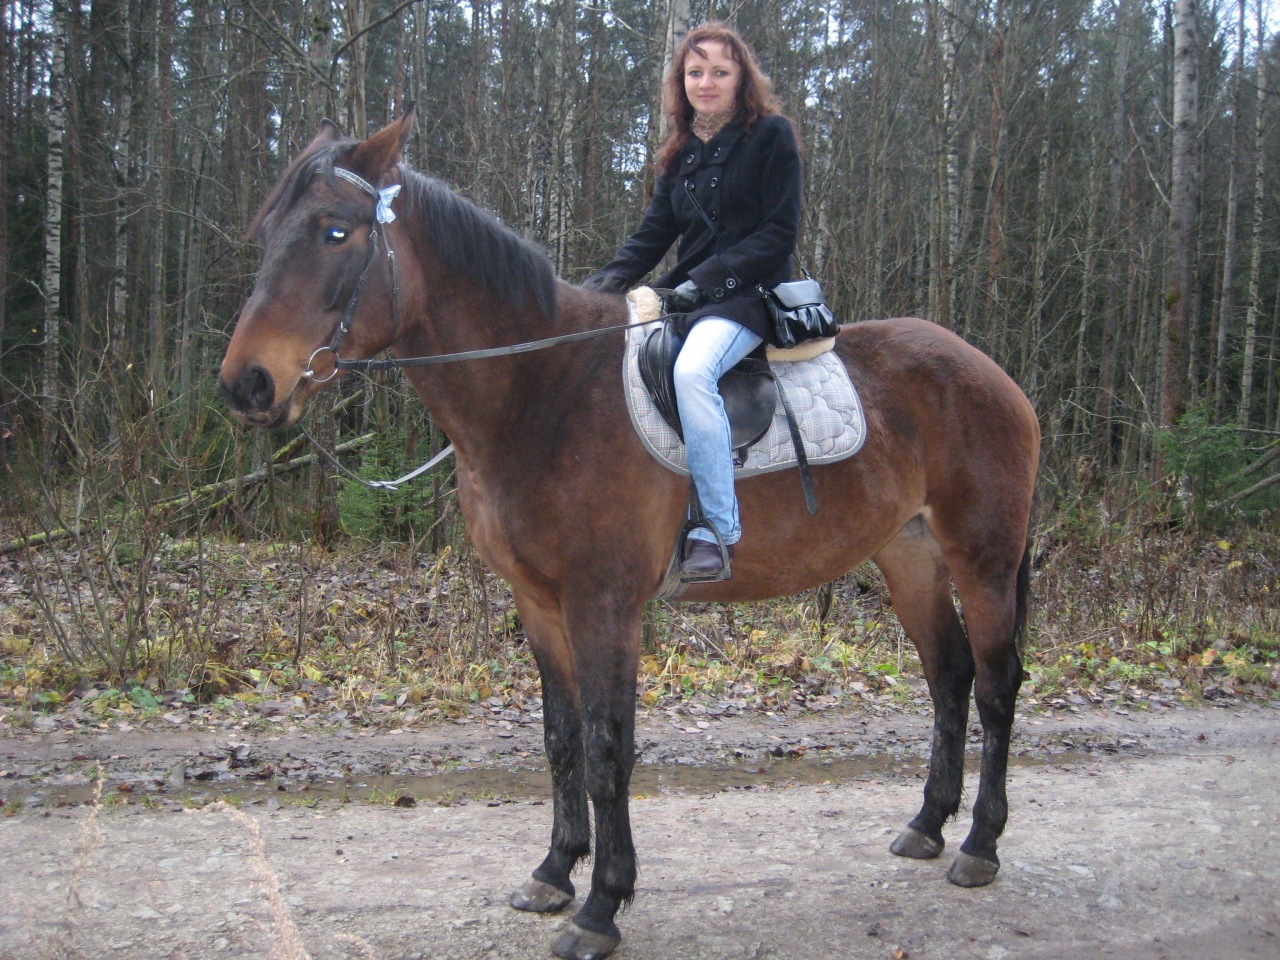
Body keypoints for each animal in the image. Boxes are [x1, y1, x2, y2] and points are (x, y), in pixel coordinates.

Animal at [219, 111, 1040, 960]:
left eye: (334, 230)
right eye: (269, 233)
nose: (247, 384)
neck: (542, 394)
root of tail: (991, 372)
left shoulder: (604, 604)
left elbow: (608, 746)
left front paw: (602, 905)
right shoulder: (538, 604)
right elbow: (561, 739)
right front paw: (555, 871)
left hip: (983, 557)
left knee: (994, 684)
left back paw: (979, 844)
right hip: (908, 555)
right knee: (948, 676)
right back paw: (928, 825)